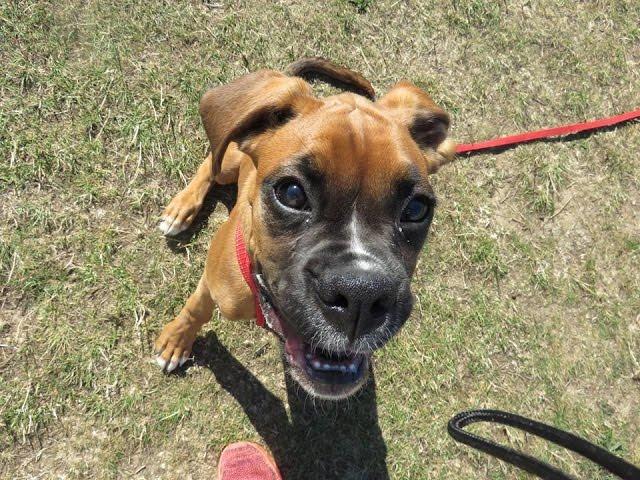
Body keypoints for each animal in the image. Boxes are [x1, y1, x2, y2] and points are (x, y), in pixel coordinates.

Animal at [154, 58, 456, 400]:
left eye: (416, 209)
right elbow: (196, 310)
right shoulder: (212, 284)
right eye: (292, 193)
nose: (361, 295)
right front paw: (176, 341)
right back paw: (181, 209)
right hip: (229, 161)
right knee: (211, 162)